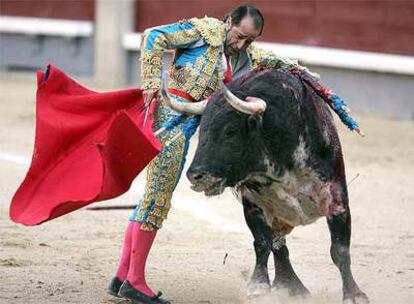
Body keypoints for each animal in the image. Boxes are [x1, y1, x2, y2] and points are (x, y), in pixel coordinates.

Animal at [188, 69, 368, 304]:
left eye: (229, 131)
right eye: (201, 131)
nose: (195, 175)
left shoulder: (335, 197)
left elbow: (339, 250)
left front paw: (354, 295)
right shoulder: (253, 203)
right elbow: (263, 243)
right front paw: (258, 286)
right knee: (278, 244)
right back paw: (291, 286)